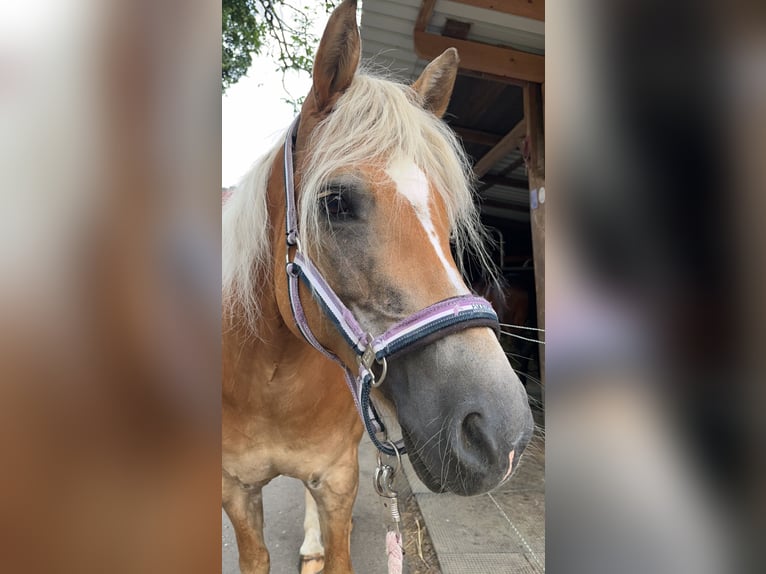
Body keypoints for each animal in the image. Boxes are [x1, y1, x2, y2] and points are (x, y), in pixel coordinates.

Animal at [222, 2, 536, 572]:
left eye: (447, 214)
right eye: (335, 202)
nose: (502, 432)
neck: (267, 383)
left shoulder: (338, 481)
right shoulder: (235, 493)